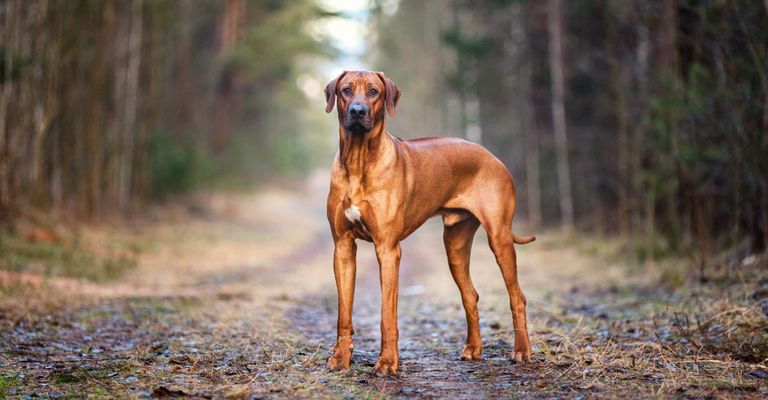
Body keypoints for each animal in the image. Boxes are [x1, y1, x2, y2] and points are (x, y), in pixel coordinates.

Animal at [324, 69, 536, 376]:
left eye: (374, 91)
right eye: (346, 90)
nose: (357, 111)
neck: (358, 160)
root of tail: (493, 156)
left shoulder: (388, 250)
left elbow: (387, 315)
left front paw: (387, 362)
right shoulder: (342, 247)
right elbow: (343, 313)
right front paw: (341, 357)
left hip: (499, 237)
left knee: (517, 296)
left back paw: (521, 350)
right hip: (455, 245)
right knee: (470, 295)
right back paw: (473, 349)